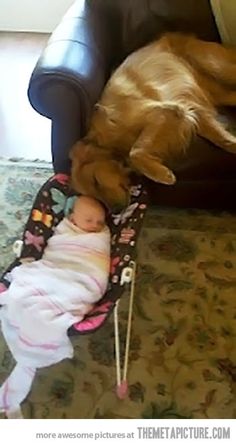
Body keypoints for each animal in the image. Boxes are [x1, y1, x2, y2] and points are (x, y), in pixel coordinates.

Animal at [70, 32, 236, 210]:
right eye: (93, 197)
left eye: (96, 181)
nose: (116, 211)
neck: (112, 140)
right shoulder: (190, 109)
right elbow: (219, 135)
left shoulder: (164, 111)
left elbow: (136, 151)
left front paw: (161, 174)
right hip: (217, 91)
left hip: (218, 67)